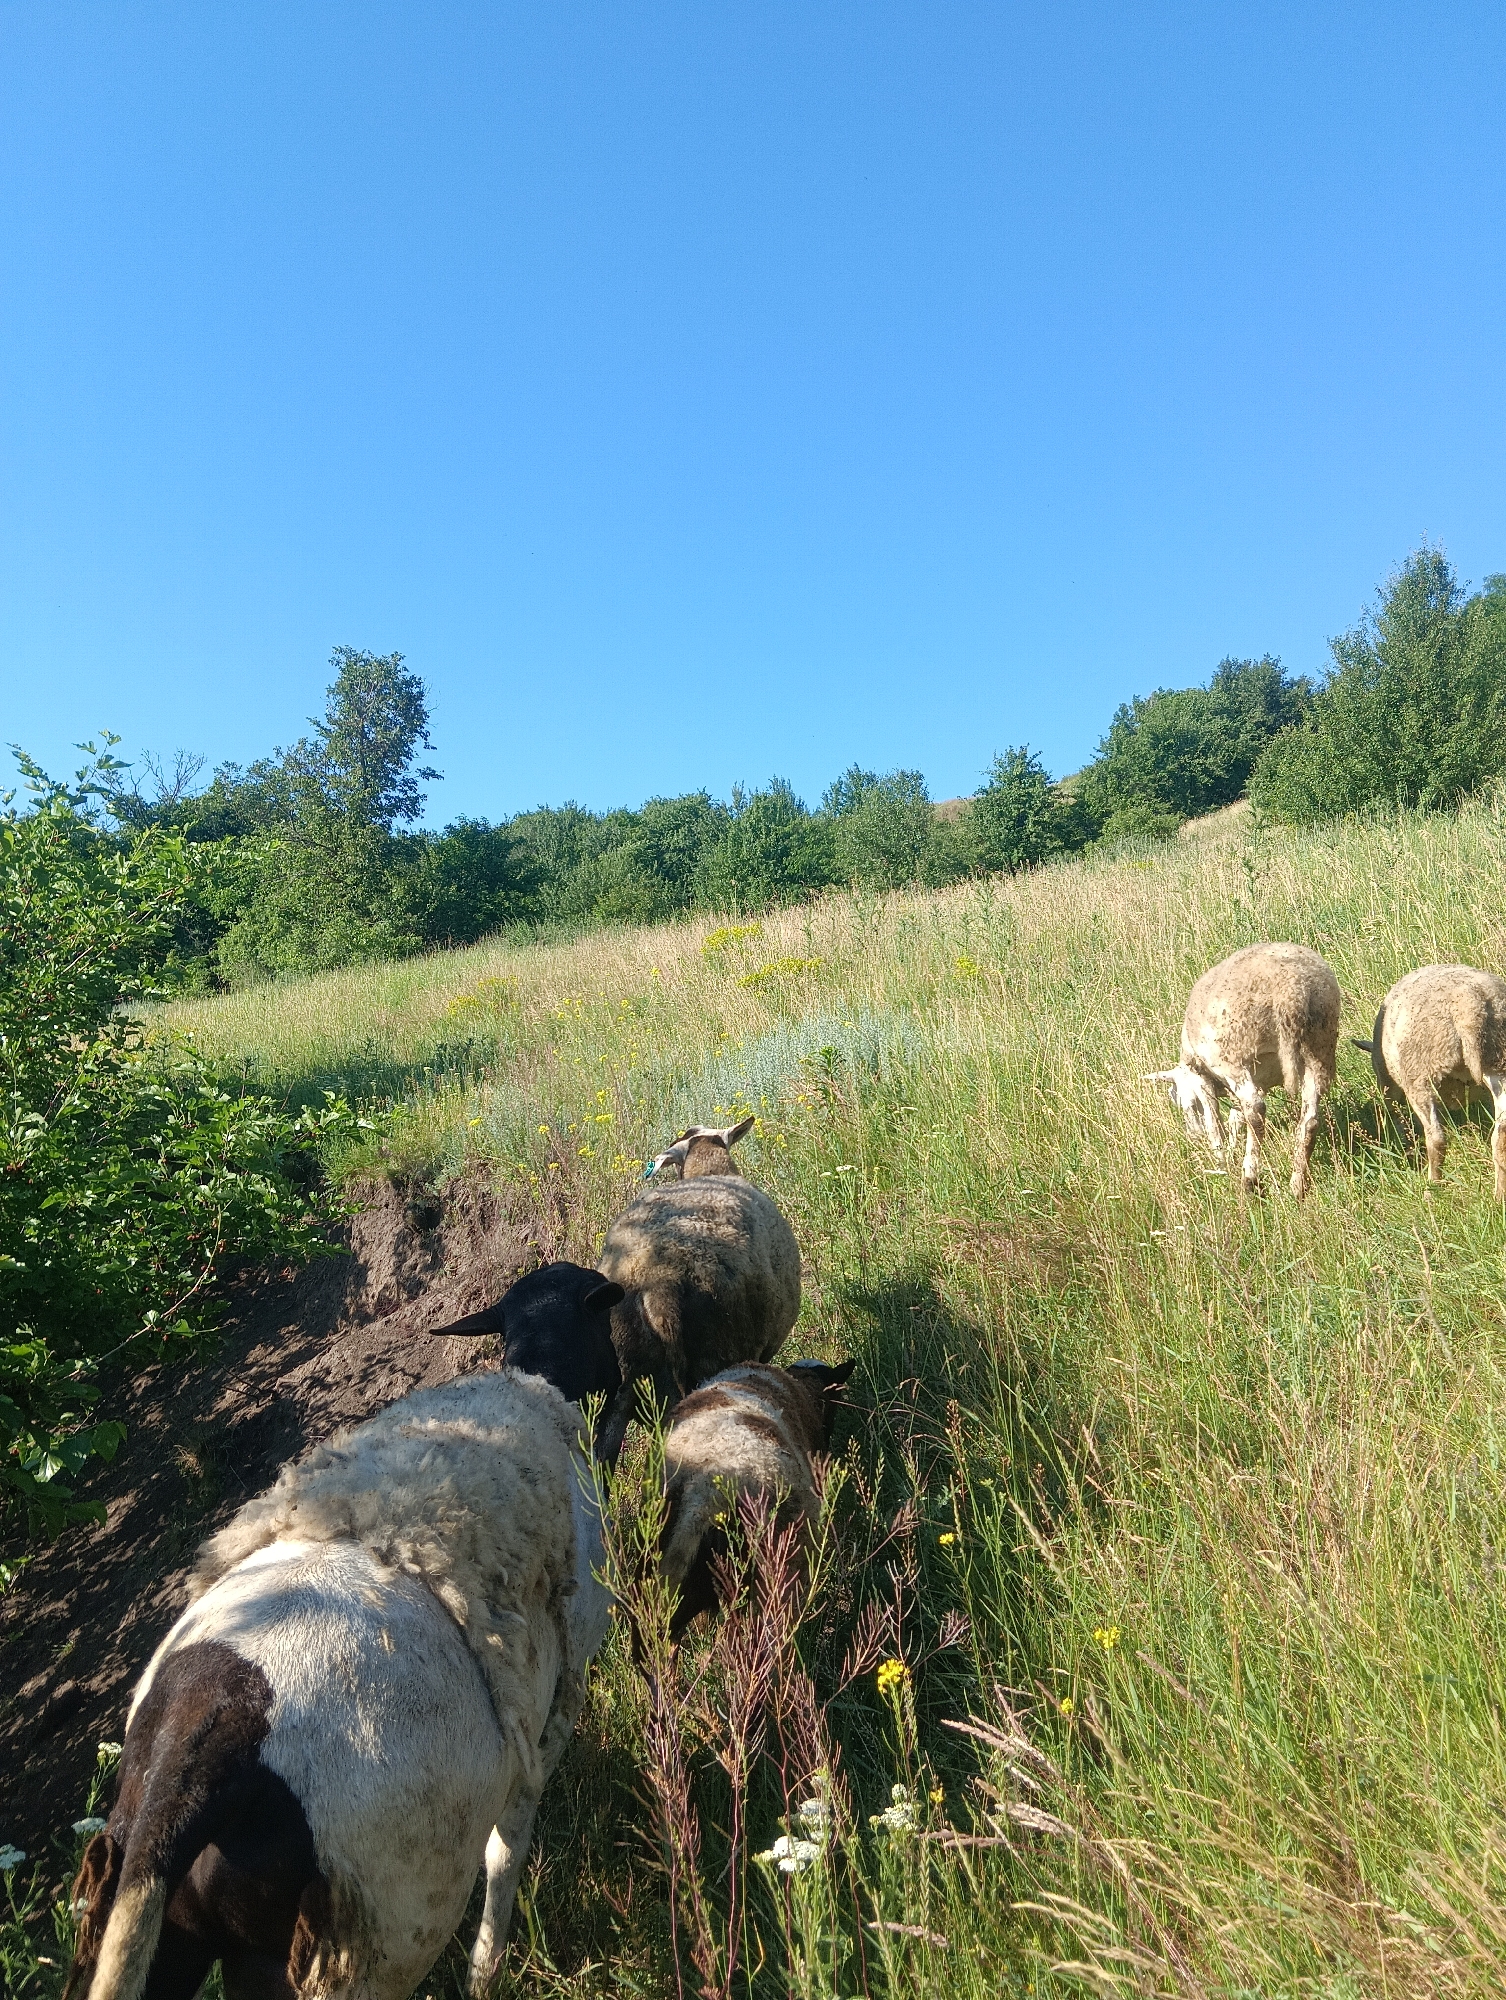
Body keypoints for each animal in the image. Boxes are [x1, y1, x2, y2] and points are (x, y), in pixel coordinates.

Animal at [63, 1368, 610, 2000]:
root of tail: (198, 1750)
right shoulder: (547, 1717)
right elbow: (506, 1853)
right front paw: (485, 1971)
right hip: (373, 1933)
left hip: (162, 1923)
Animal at [1145, 941, 1341, 1197]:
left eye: (1184, 1106)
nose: (1193, 1137)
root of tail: (1291, 992)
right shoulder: (1259, 1080)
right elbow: (1235, 1118)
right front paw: (1229, 1150)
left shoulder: (1201, 1078)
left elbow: (1215, 1121)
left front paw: (1220, 1159)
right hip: (1320, 1048)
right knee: (1309, 1121)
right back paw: (1296, 1186)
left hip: (1234, 1055)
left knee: (1256, 1112)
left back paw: (1250, 1179)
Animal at [1353, 963, 1506, 1196]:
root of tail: (1469, 1007)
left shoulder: (1387, 1083)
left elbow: (1395, 1115)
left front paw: (1404, 1145)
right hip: (1497, 1062)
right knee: (1500, 1137)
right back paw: (1498, 1195)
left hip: (1420, 1073)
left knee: (1436, 1137)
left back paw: (1432, 1186)